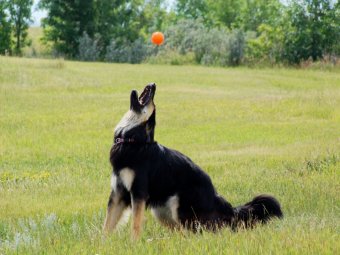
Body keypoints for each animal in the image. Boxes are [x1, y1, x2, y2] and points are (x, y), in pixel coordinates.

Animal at [102, 83, 282, 239]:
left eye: (153, 103)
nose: (153, 84)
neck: (132, 140)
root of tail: (215, 195)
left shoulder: (138, 192)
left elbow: (135, 224)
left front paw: (134, 244)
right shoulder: (117, 193)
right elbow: (108, 223)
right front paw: (103, 244)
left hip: (180, 209)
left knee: (198, 232)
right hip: (162, 211)